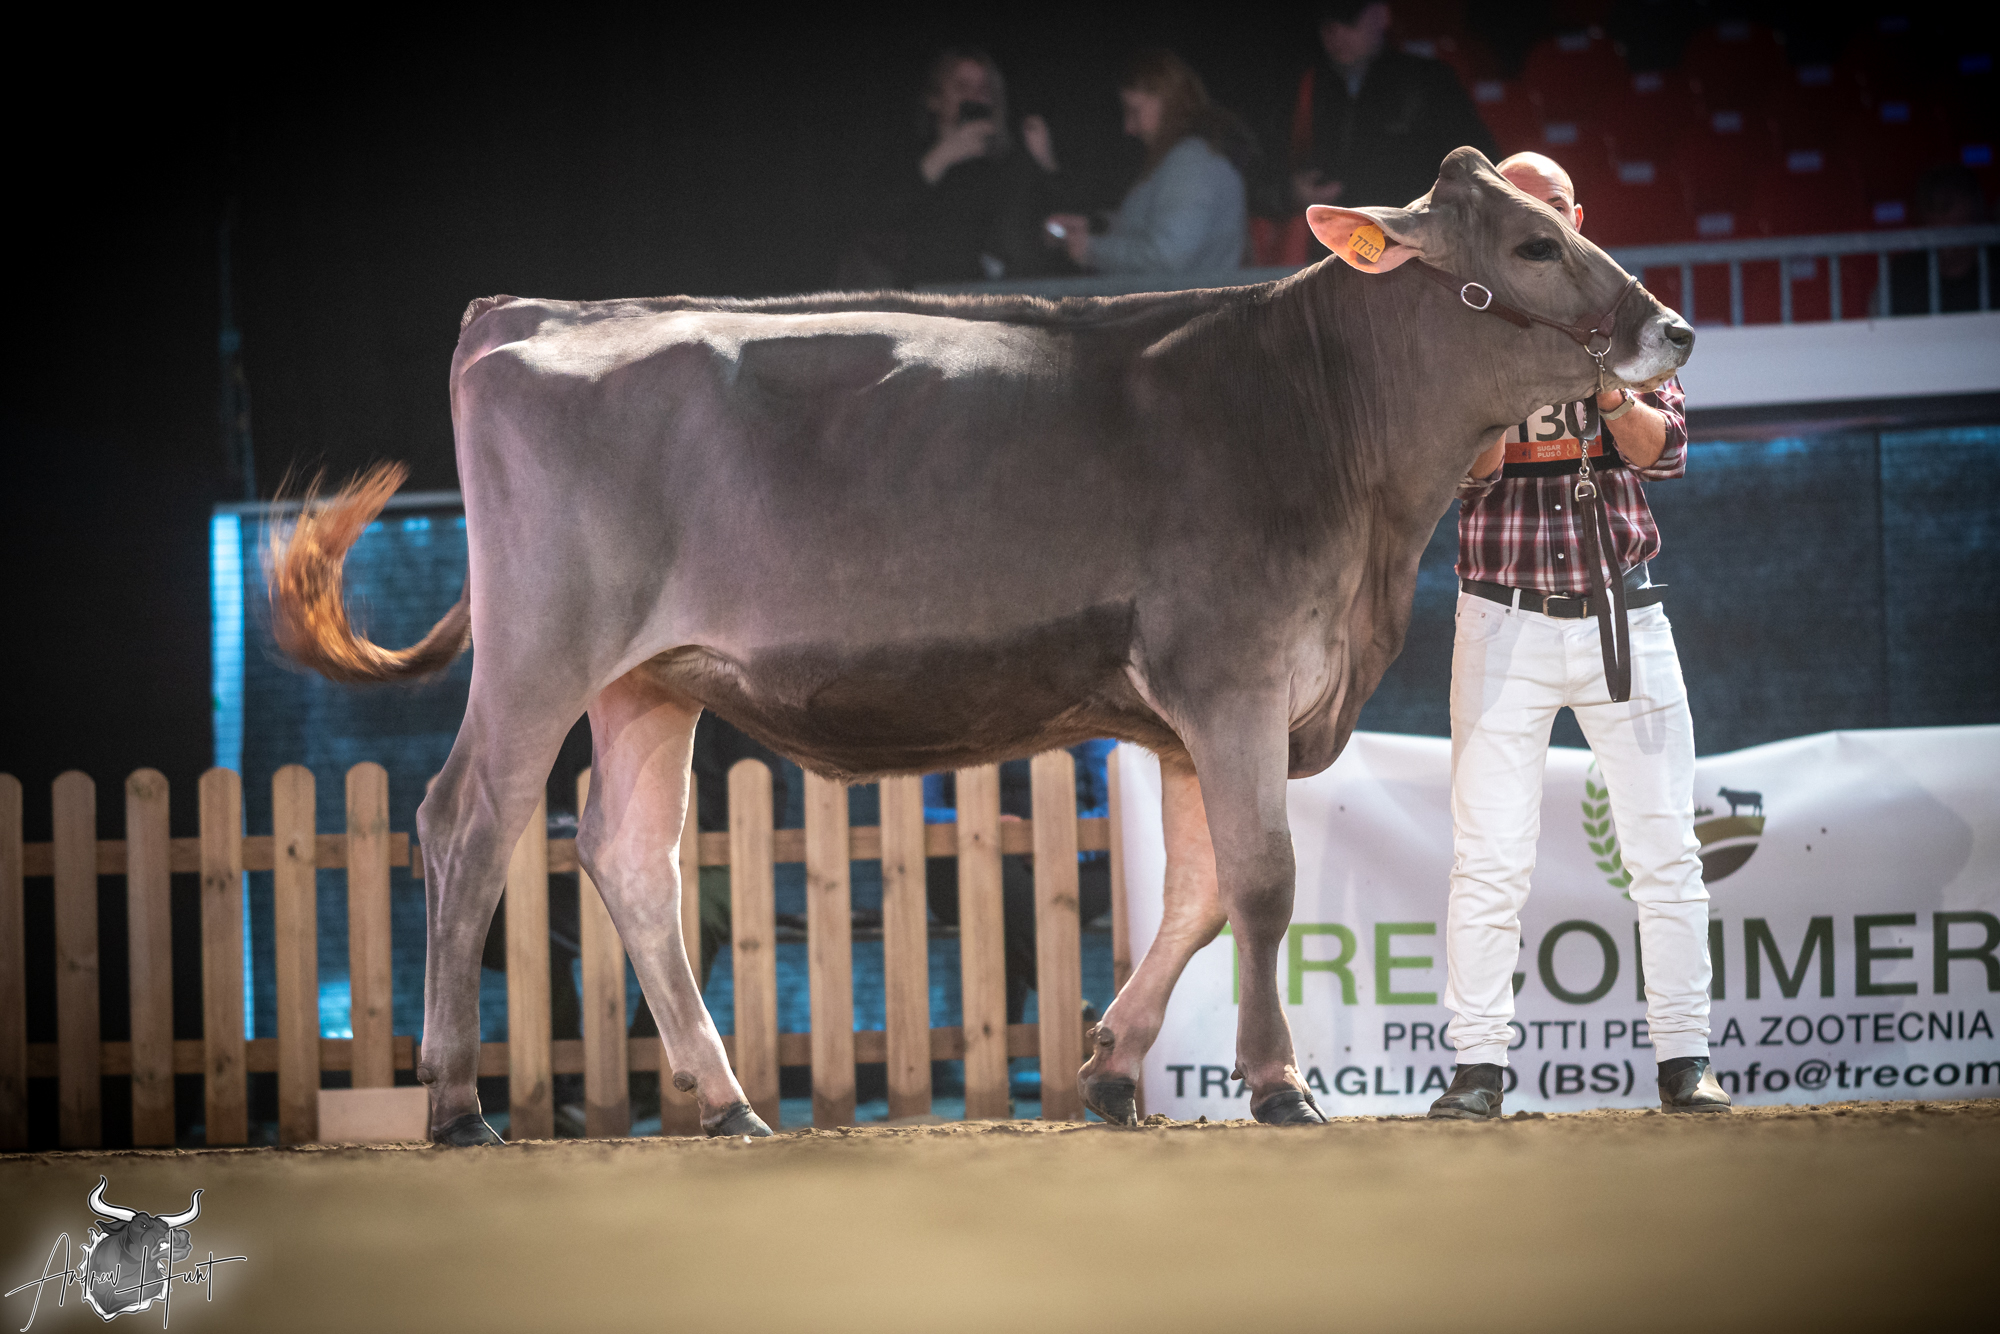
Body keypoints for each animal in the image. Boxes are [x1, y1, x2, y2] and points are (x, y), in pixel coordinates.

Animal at [268, 147, 1692, 1141]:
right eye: (1533, 241)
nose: (1669, 329)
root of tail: (523, 312)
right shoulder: (1230, 673)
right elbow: (1264, 880)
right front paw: (1278, 1082)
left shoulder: (1191, 708)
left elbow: (1198, 888)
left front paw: (1111, 1066)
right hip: (540, 648)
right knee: (466, 819)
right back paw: (457, 1103)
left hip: (646, 680)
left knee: (629, 856)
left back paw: (726, 1100)